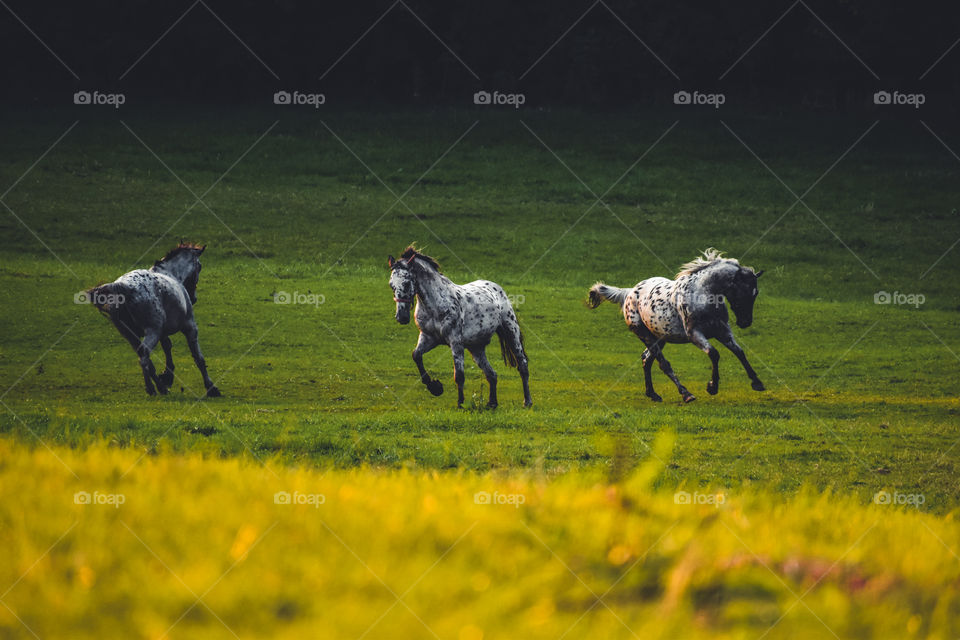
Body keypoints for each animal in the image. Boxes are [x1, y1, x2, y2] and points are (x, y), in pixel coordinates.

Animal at [86, 242, 221, 398]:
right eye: (200, 266)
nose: (194, 298)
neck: (170, 274)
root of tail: (123, 286)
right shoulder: (190, 327)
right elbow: (198, 357)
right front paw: (211, 388)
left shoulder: (163, 333)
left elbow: (167, 347)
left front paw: (167, 376)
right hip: (152, 332)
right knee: (144, 357)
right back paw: (152, 388)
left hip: (131, 335)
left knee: (145, 358)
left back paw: (161, 388)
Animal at [386, 248, 532, 408]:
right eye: (391, 285)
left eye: (406, 283)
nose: (401, 317)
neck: (435, 305)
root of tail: (496, 288)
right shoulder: (428, 338)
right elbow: (416, 355)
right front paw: (435, 387)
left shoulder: (455, 342)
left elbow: (459, 375)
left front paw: (460, 403)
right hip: (476, 348)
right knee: (491, 374)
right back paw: (492, 403)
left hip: (511, 332)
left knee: (522, 366)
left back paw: (527, 401)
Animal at [584, 248, 764, 402]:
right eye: (743, 291)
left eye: (755, 293)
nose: (745, 322)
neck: (702, 294)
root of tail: (629, 293)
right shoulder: (694, 334)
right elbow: (714, 354)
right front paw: (712, 387)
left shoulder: (723, 331)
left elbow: (739, 352)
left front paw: (757, 382)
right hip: (645, 335)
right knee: (663, 364)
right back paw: (686, 394)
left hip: (659, 338)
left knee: (646, 359)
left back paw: (652, 394)